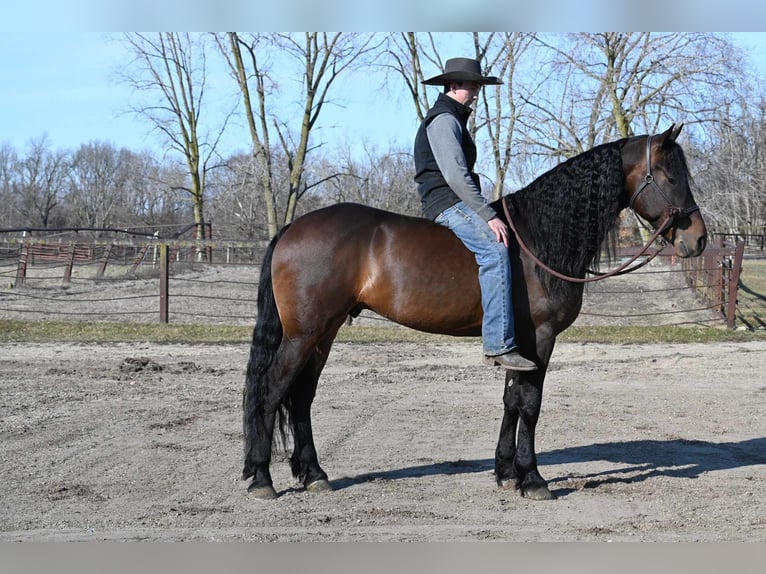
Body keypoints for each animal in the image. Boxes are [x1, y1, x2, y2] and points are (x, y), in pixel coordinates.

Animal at [243, 124, 712, 502]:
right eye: (670, 175)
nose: (699, 239)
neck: (536, 239)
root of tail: (292, 228)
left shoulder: (516, 345)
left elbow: (511, 400)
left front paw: (506, 472)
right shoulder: (541, 338)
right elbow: (530, 404)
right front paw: (533, 480)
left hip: (323, 334)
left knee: (301, 397)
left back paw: (314, 475)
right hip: (304, 335)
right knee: (270, 391)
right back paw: (263, 479)